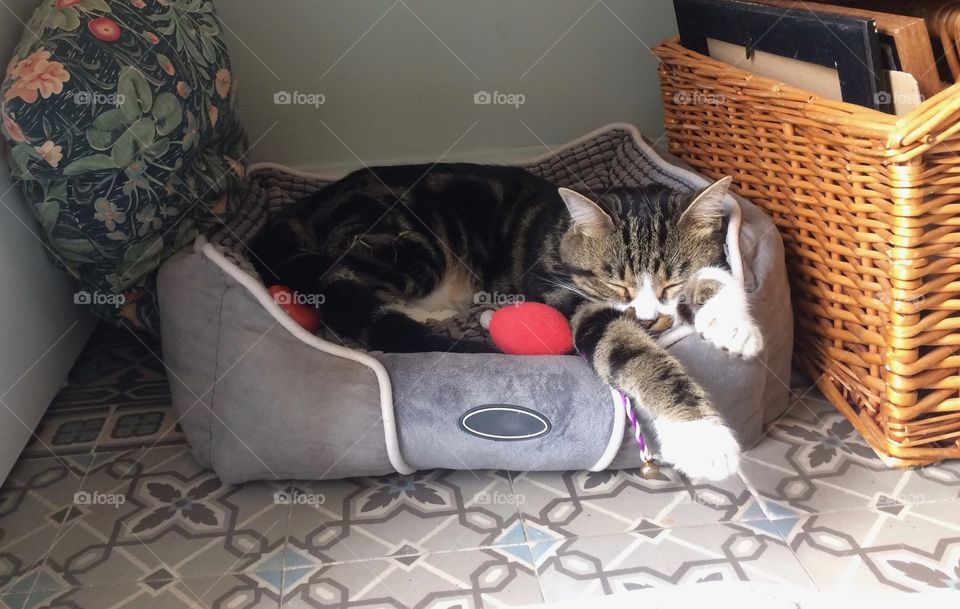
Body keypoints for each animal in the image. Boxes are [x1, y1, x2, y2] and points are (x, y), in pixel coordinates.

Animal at [249, 163, 764, 480]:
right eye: (614, 284)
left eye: (672, 282)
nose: (650, 318)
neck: (562, 236)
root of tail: (300, 212)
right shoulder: (565, 297)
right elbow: (625, 345)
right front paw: (703, 439)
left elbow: (717, 275)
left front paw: (734, 326)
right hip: (410, 244)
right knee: (341, 287)